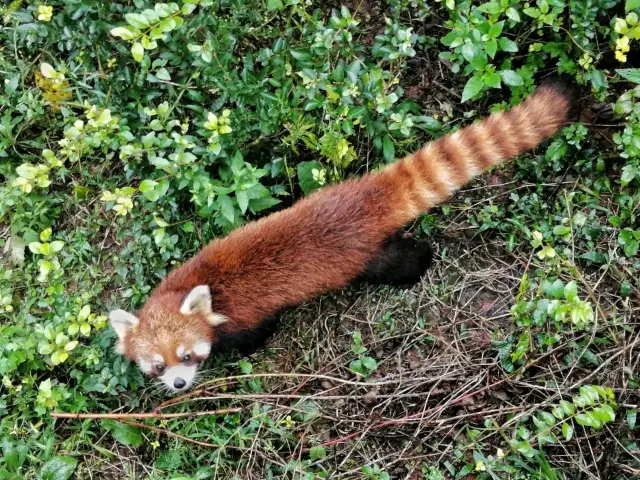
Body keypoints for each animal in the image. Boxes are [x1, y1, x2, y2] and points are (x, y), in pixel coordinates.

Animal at [107, 80, 572, 392]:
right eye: (158, 366)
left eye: (187, 356)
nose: (179, 384)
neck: (195, 287)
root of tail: (360, 197)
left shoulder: (245, 316)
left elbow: (257, 334)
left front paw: (246, 353)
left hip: (367, 256)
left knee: (397, 261)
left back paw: (418, 264)